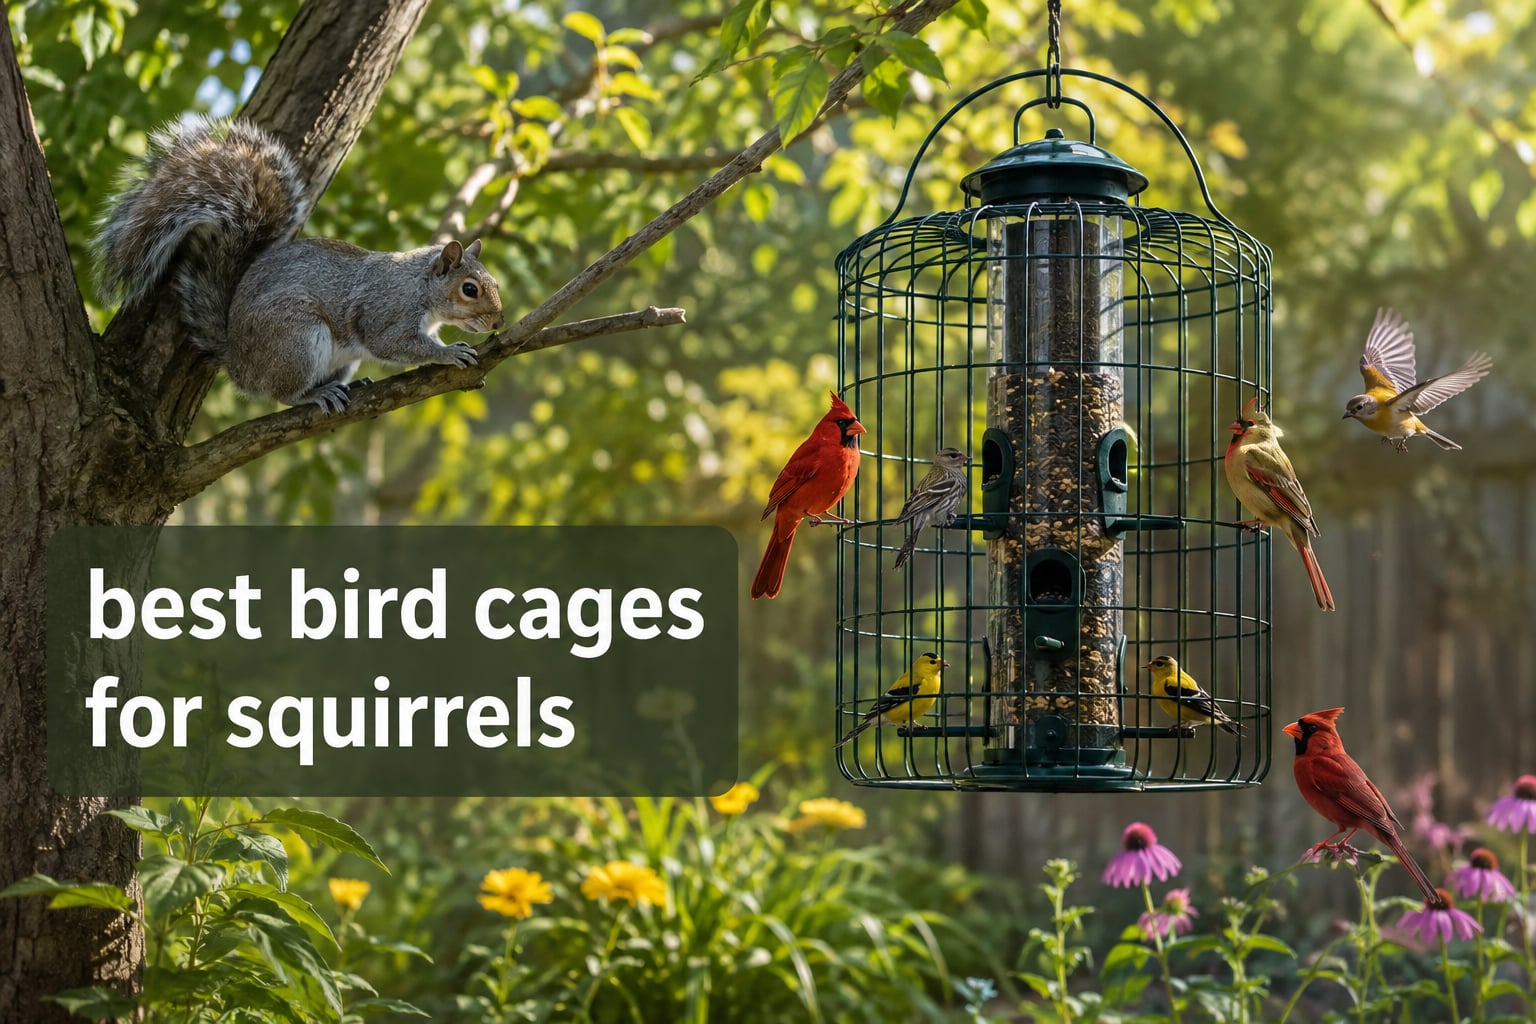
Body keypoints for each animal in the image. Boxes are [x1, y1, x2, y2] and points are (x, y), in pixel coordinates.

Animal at [94, 116, 505, 413]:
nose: (498, 322)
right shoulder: (386, 310)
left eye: (495, 283)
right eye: (470, 289)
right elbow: (393, 343)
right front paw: (449, 352)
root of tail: (239, 361)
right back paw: (312, 395)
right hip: (296, 338)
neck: (420, 285)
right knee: (282, 393)